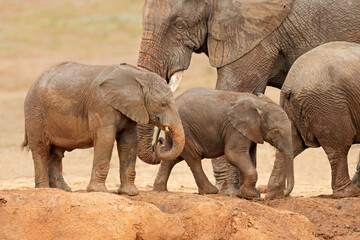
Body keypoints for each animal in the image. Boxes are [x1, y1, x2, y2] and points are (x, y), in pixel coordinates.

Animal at [150, 87, 294, 199]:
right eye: (276, 132)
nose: (284, 194)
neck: (260, 104)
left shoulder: (250, 131)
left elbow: (249, 155)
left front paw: (246, 195)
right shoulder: (235, 129)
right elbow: (233, 154)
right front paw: (248, 195)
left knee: (172, 157)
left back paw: (160, 190)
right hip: (185, 129)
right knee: (194, 157)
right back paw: (210, 192)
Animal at [280, 41, 360, 199]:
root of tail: (289, 85)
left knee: (290, 145)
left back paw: (274, 194)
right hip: (328, 105)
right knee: (339, 146)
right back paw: (350, 193)